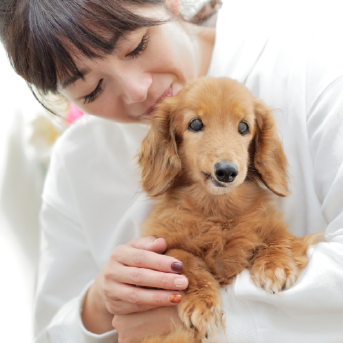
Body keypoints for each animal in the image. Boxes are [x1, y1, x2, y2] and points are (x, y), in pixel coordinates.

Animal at [137, 78, 320, 343]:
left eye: (244, 127)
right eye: (195, 123)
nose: (226, 171)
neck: (219, 214)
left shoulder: (276, 229)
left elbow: (279, 239)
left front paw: (274, 266)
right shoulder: (162, 243)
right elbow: (184, 260)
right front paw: (202, 304)